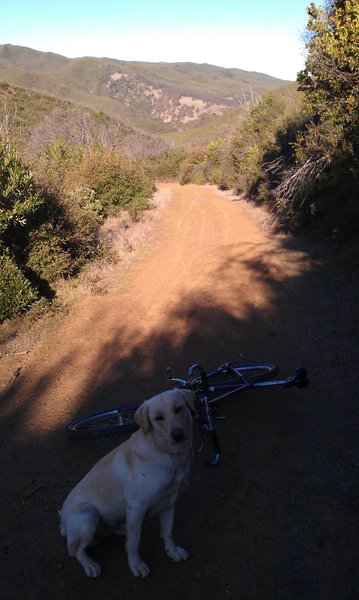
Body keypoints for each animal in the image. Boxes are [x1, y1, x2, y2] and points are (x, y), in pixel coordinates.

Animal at [58, 386, 195, 580]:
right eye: (158, 418)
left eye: (178, 409)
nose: (177, 434)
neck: (165, 452)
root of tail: (62, 515)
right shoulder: (137, 507)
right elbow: (133, 543)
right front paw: (136, 565)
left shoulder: (169, 502)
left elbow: (168, 531)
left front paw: (173, 552)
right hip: (88, 513)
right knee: (76, 551)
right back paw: (90, 564)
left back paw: (122, 529)